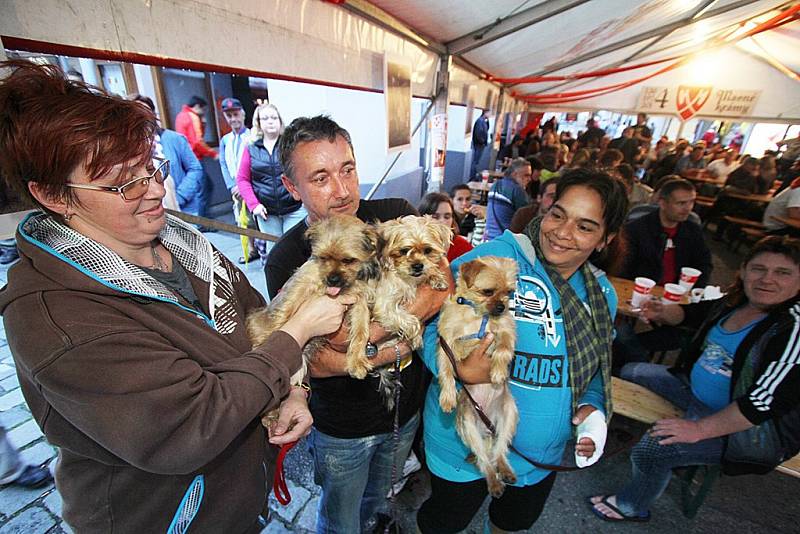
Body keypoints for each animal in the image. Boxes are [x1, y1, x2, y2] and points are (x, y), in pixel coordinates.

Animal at [248, 214, 382, 394]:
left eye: (348, 260)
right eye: (323, 257)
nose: (332, 279)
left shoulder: (360, 302)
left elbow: (361, 331)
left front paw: (356, 362)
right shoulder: (303, 283)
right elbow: (286, 310)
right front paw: (269, 339)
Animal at [438, 255, 520, 498]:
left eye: (509, 292)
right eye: (487, 291)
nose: (502, 307)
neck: (478, 315)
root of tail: (487, 430)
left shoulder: (505, 330)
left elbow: (503, 348)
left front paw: (498, 371)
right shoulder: (446, 341)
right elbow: (447, 369)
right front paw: (447, 397)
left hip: (509, 415)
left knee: (499, 450)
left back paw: (504, 469)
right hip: (468, 425)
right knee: (484, 460)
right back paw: (494, 482)